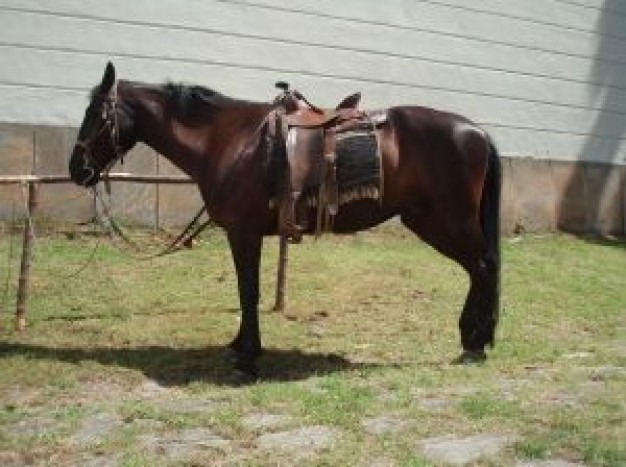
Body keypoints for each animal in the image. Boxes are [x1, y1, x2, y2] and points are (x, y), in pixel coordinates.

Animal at [68, 62, 500, 382]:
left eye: (95, 114)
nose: (77, 170)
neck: (230, 140)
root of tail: (477, 132)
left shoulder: (243, 233)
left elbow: (248, 291)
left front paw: (248, 359)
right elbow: (246, 291)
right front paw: (239, 345)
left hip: (445, 222)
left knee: (482, 268)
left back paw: (475, 342)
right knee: (481, 269)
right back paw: (475, 337)